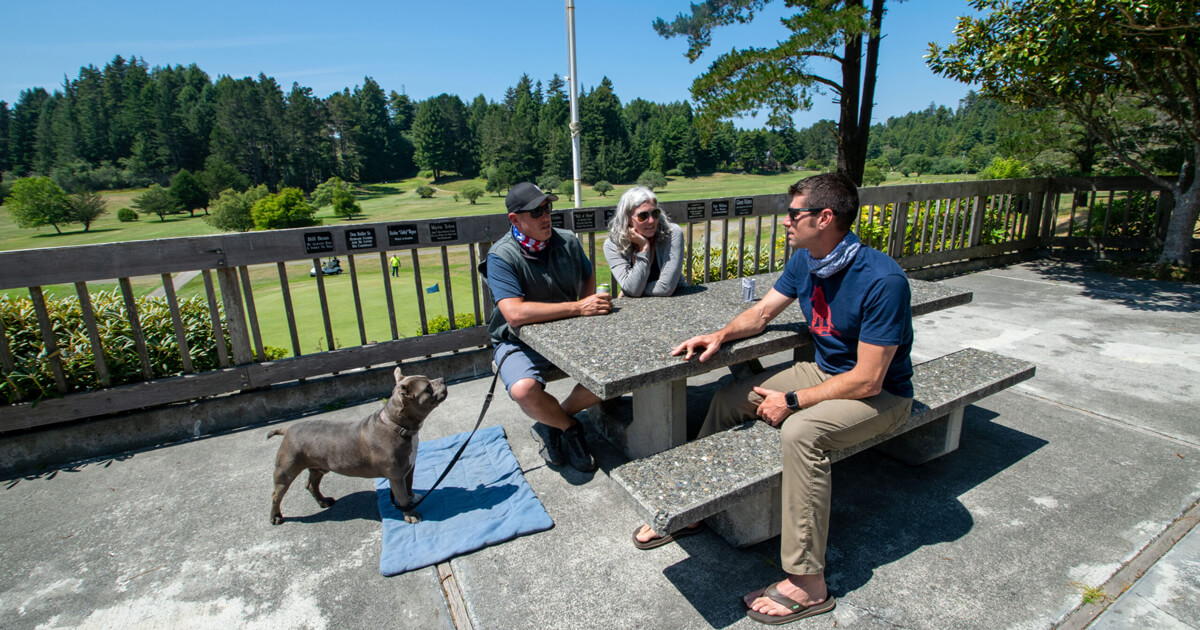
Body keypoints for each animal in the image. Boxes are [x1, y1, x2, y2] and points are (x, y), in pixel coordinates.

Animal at [267, 372, 446, 523]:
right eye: (427, 387)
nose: (442, 379)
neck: (396, 425)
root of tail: (288, 428)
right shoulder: (396, 476)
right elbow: (401, 496)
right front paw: (410, 514)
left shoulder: (408, 467)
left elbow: (408, 485)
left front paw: (412, 497)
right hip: (286, 471)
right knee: (276, 494)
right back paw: (276, 517)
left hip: (318, 467)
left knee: (311, 484)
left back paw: (323, 501)